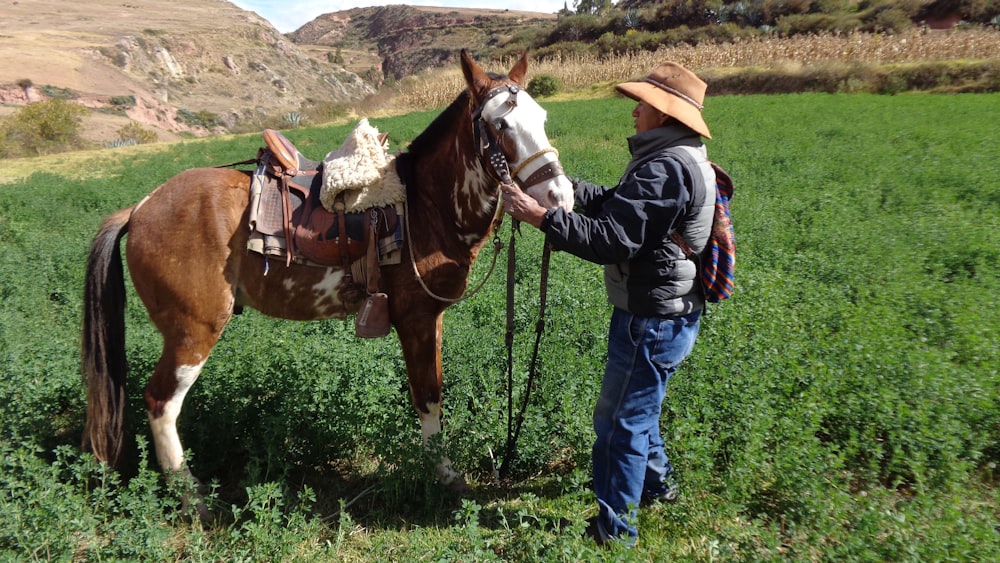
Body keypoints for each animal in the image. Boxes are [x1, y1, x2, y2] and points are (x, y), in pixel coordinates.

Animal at [82, 50, 576, 490]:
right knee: (161, 403)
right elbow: (428, 398)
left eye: (543, 118)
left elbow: (434, 393)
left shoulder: (431, 320)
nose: (560, 197)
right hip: (193, 331)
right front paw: (445, 476)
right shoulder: (415, 320)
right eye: (501, 124)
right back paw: (193, 498)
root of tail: (140, 208)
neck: (425, 206)